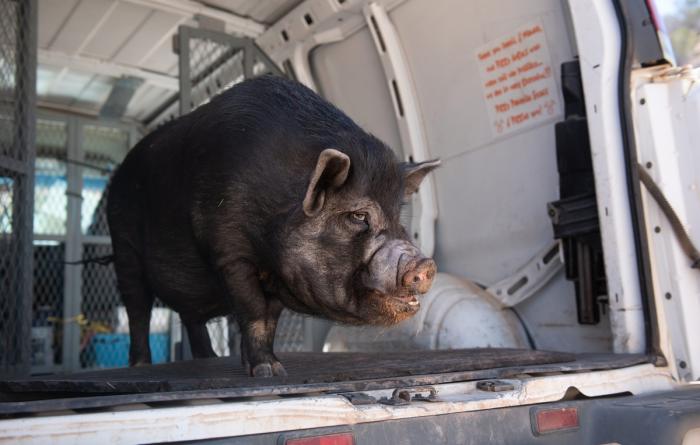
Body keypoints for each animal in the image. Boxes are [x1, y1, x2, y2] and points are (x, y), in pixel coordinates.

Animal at [107, 75, 439, 377]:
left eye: (397, 216)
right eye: (358, 216)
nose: (426, 265)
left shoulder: (281, 277)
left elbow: (270, 320)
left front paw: (262, 368)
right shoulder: (230, 254)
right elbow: (253, 310)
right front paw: (269, 371)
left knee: (191, 317)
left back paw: (209, 360)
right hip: (123, 246)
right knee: (137, 309)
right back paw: (140, 366)